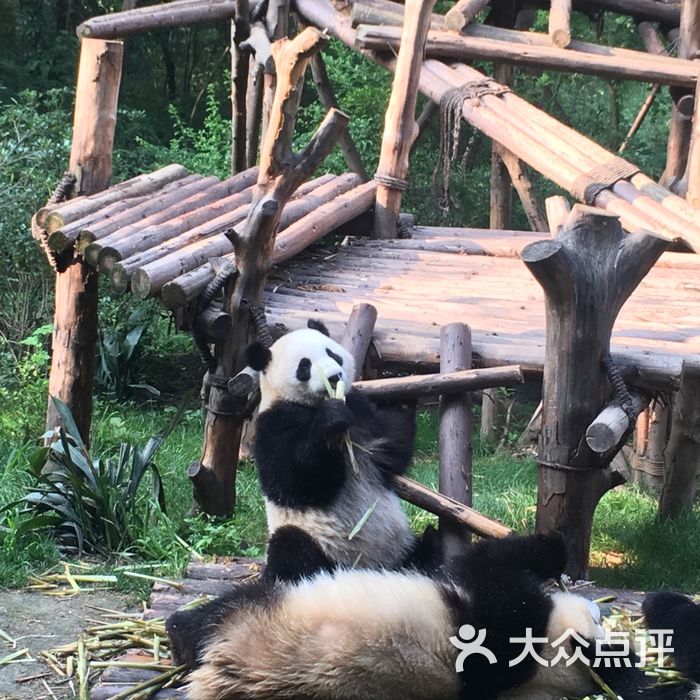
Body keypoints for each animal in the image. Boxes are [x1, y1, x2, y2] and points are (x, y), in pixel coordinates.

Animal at [243, 320, 434, 584]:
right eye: (304, 366)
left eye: (332, 353)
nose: (334, 377)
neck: (311, 404)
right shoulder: (274, 423)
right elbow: (293, 482)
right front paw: (331, 419)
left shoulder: (360, 410)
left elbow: (392, 449)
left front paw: (407, 398)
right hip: (318, 543)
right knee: (292, 550)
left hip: (399, 547)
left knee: (419, 552)